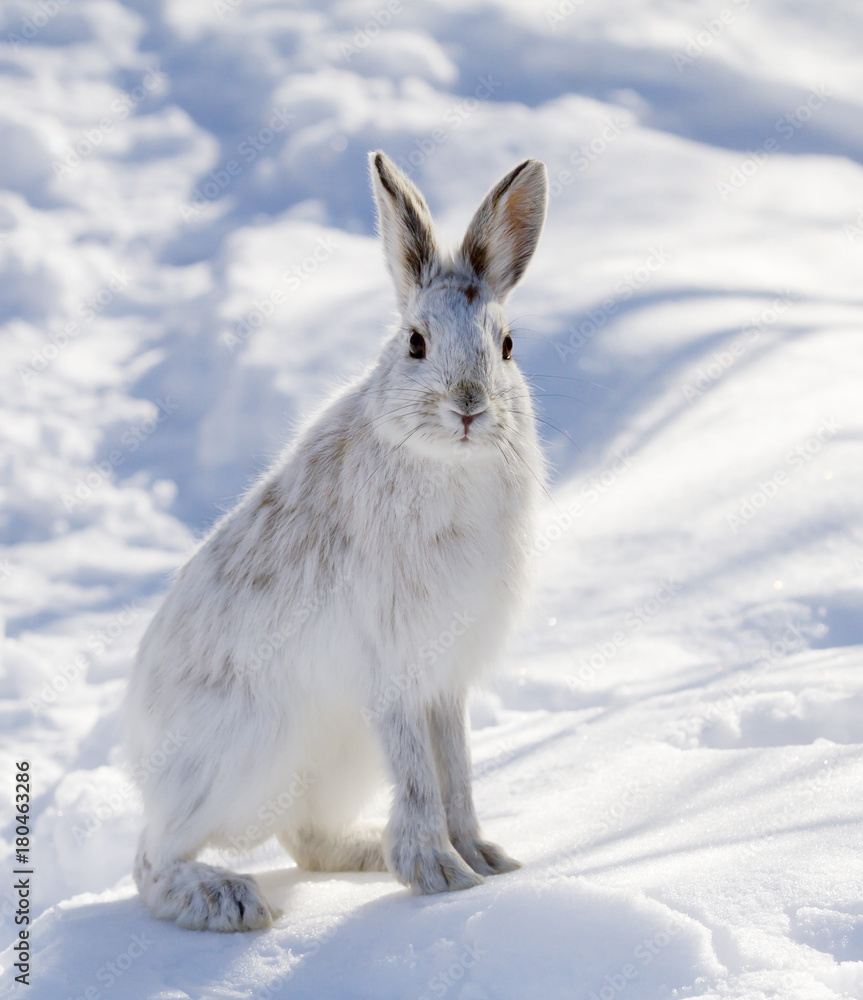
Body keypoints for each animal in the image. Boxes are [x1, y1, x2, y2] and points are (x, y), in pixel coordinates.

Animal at [125, 150, 548, 932]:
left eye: (506, 347)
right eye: (415, 343)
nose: (469, 408)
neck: (448, 465)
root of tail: (137, 753)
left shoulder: (445, 681)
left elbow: (457, 768)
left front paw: (484, 859)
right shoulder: (392, 669)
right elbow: (419, 774)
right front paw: (440, 874)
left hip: (333, 760)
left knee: (308, 839)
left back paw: (365, 852)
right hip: (242, 756)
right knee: (150, 859)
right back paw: (226, 899)